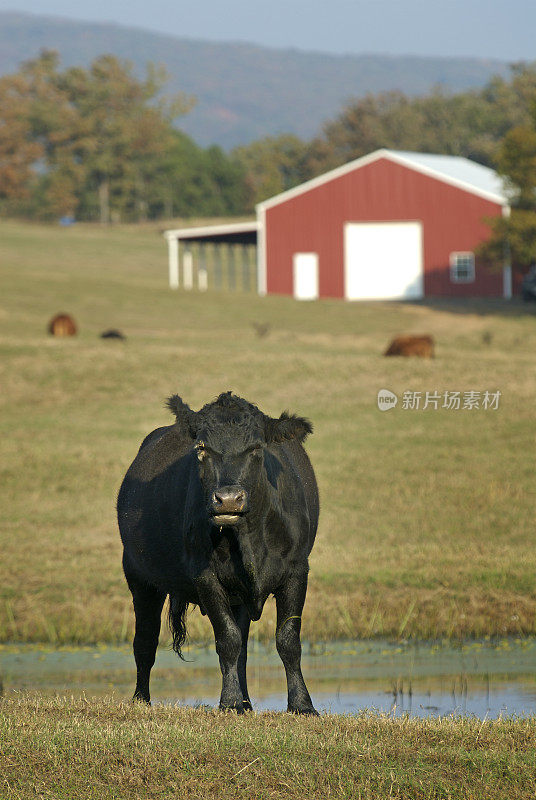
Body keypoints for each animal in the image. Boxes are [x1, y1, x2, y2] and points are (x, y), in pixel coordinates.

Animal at [117, 390, 318, 716]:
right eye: (201, 448)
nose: (228, 499)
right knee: (144, 641)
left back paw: (248, 703)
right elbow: (227, 640)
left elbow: (288, 640)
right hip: (139, 576)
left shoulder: (297, 570)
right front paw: (230, 702)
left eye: (256, 447)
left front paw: (302, 705)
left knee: (244, 649)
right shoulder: (206, 577)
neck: (248, 539)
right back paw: (141, 701)